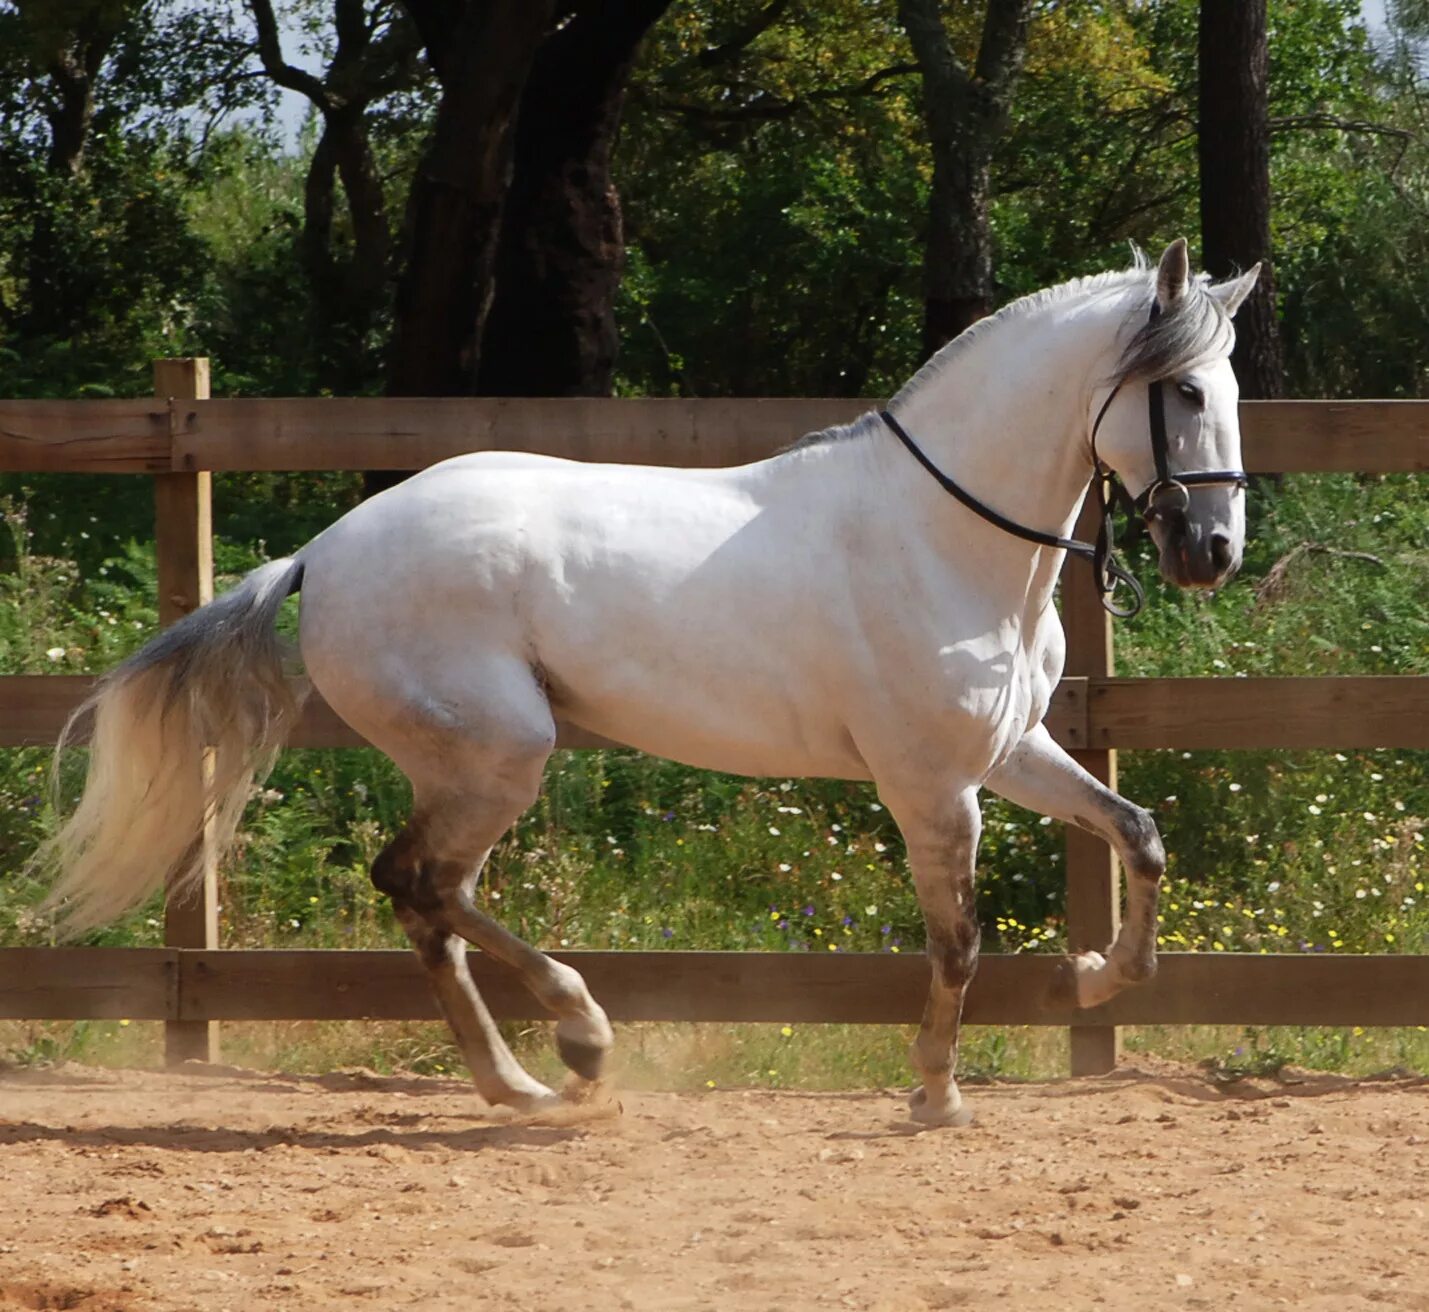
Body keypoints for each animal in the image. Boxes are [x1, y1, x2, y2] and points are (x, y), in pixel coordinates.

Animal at [39, 241, 1257, 1126]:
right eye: (1185, 391)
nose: (1213, 552)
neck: (943, 535)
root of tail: (325, 551)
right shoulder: (928, 784)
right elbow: (955, 938)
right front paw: (936, 1093)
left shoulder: (1006, 753)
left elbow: (1138, 834)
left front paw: (1091, 979)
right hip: (500, 754)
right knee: (420, 884)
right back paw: (575, 1042)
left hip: (473, 763)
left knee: (427, 898)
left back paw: (522, 1081)